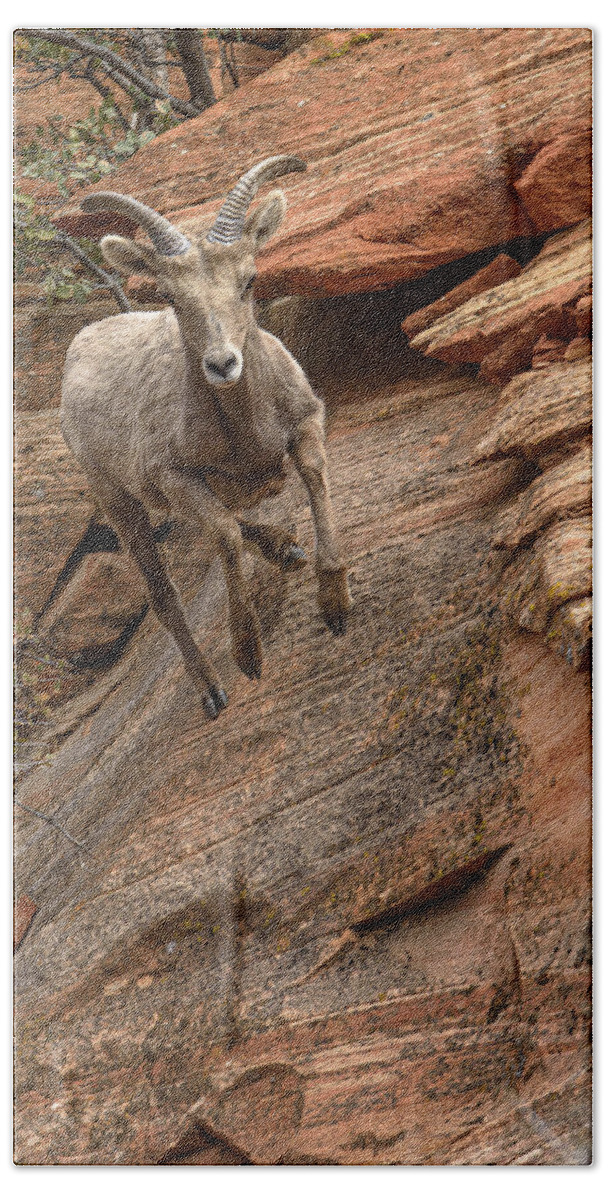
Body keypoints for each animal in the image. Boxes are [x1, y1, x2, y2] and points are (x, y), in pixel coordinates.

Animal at [60, 156, 352, 719]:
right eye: (170, 296)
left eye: (249, 279)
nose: (222, 364)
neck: (246, 430)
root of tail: (78, 347)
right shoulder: (174, 477)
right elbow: (224, 534)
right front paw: (249, 657)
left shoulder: (306, 424)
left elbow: (313, 479)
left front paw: (336, 608)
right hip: (118, 501)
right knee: (165, 593)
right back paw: (212, 692)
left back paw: (286, 549)